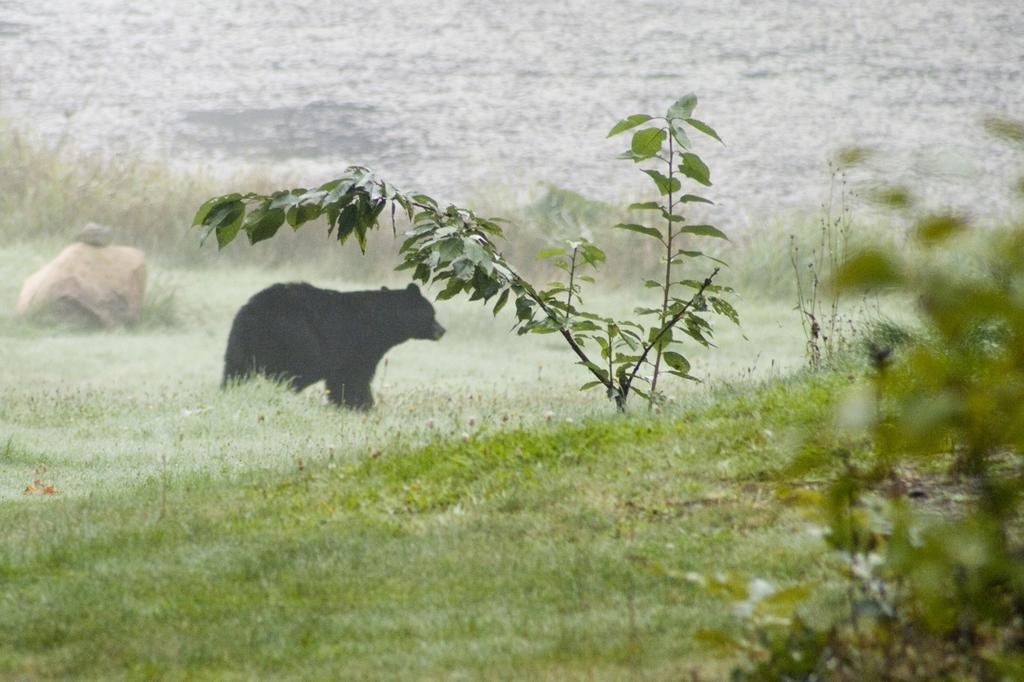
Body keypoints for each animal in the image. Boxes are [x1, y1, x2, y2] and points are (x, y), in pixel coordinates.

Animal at [222, 282, 446, 409]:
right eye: (432, 313)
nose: (442, 330)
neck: (381, 322)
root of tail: (249, 311)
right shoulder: (357, 344)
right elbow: (354, 377)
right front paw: (362, 404)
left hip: (242, 345)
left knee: (235, 370)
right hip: (292, 339)